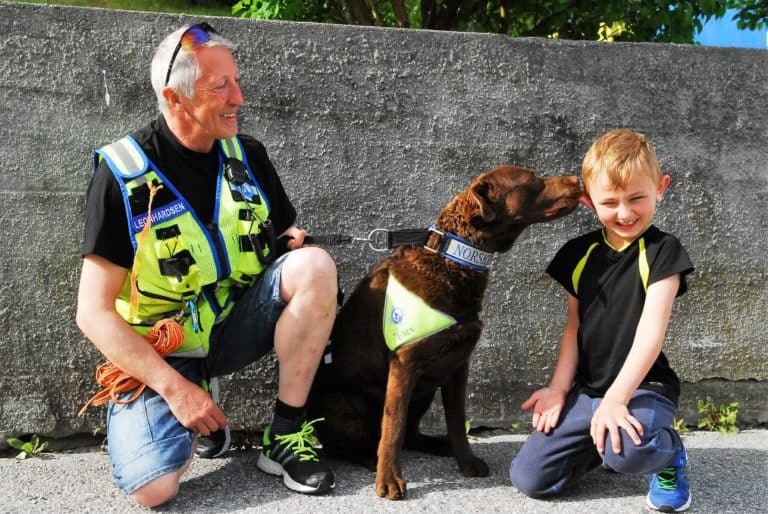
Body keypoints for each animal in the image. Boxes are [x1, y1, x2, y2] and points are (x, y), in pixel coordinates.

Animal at [304, 166, 576, 498]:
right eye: (533, 180)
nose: (577, 180)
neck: (453, 259)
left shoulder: (458, 364)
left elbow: (456, 421)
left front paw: (466, 462)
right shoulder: (403, 365)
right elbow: (392, 428)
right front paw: (389, 480)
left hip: (426, 389)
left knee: (411, 433)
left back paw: (438, 444)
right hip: (346, 402)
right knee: (354, 443)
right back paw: (370, 457)